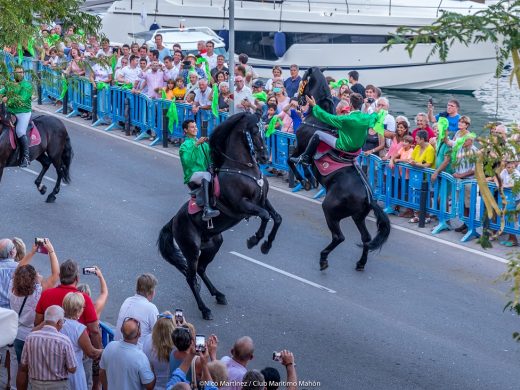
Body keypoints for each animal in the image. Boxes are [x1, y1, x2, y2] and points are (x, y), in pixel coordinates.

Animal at [157, 112, 282, 320]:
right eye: (254, 131)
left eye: (265, 129)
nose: (265, 156)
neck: (242, 168)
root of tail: (173, 221)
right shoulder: (242, 204)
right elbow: (265, 216)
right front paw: (255, 240)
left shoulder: (262, 200)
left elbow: (276, 218)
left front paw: (266, 245)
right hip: (191, 248)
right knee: (191, 276)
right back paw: (204, 309)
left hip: (213, 244)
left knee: (201, 269)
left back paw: (218, 295)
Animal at [288, 67, 390, 272]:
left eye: (302, 79)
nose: (298, 100)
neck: (317, 120)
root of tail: (368, 198)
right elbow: (302, 164)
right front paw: (309, 180)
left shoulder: (301, 146)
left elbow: (292, 160)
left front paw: (303, 180)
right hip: (358, 217)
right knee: (366, 239)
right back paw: (360, 263)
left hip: (330, 209)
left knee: (339, 237)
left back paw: (323, 259)